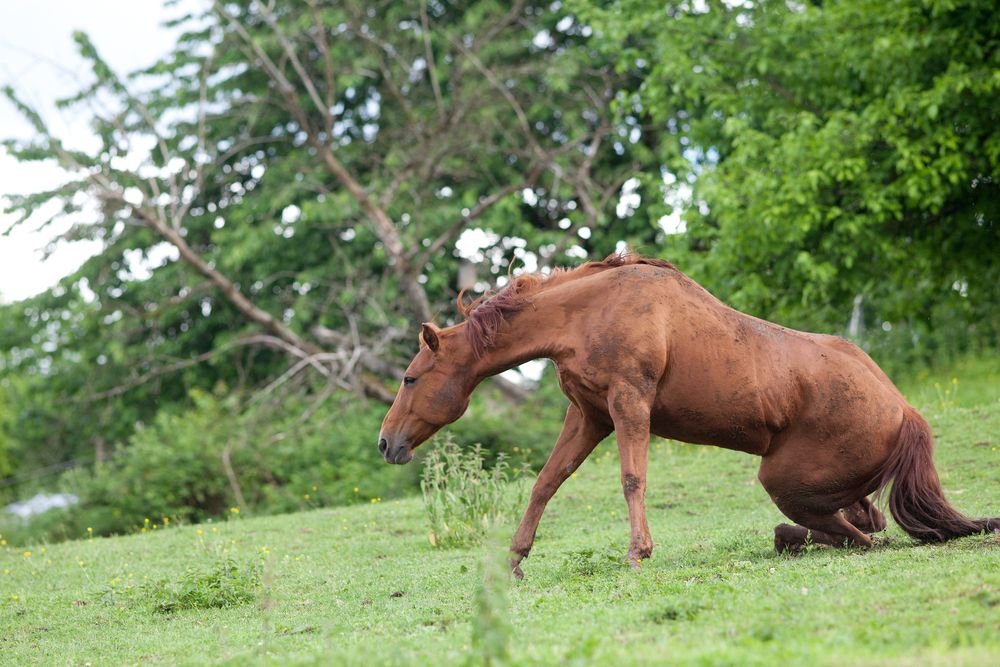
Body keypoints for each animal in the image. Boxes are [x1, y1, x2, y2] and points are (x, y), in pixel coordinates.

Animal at [376, 253, 1000, 576]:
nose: (386, 444)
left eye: (410, 378)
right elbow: (545, 483)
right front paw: (515, 559)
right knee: (863, 524)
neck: (589, 311)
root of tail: (905, 411)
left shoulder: (629, 403)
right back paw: (789, 539)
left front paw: (638, 551)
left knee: (863, 538)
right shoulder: (589, 415)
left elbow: (632, 479)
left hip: (782, 480)